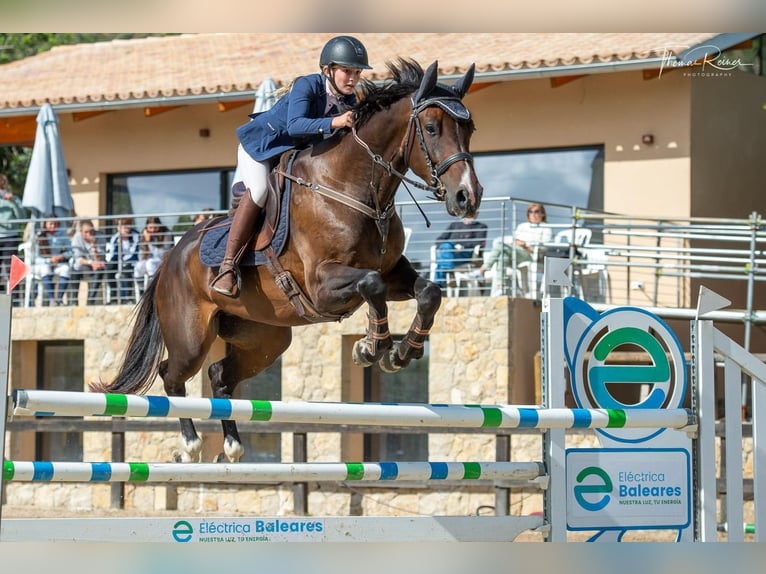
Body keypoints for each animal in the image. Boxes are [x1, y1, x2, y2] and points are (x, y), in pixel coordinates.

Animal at [91, 59, 483, 463]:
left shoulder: (392, 272)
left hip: (265, 339)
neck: (355, 187)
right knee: (173, 375)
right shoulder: (323, 284)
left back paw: (232, 445)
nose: (468, 197)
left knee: (219, 376)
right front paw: (371, 347)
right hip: (191, 337)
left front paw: (401, 353)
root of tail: (169, 258)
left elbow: (428, 291)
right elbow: (370, 284)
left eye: (470, 129)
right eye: (432, 128)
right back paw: (190, 446)